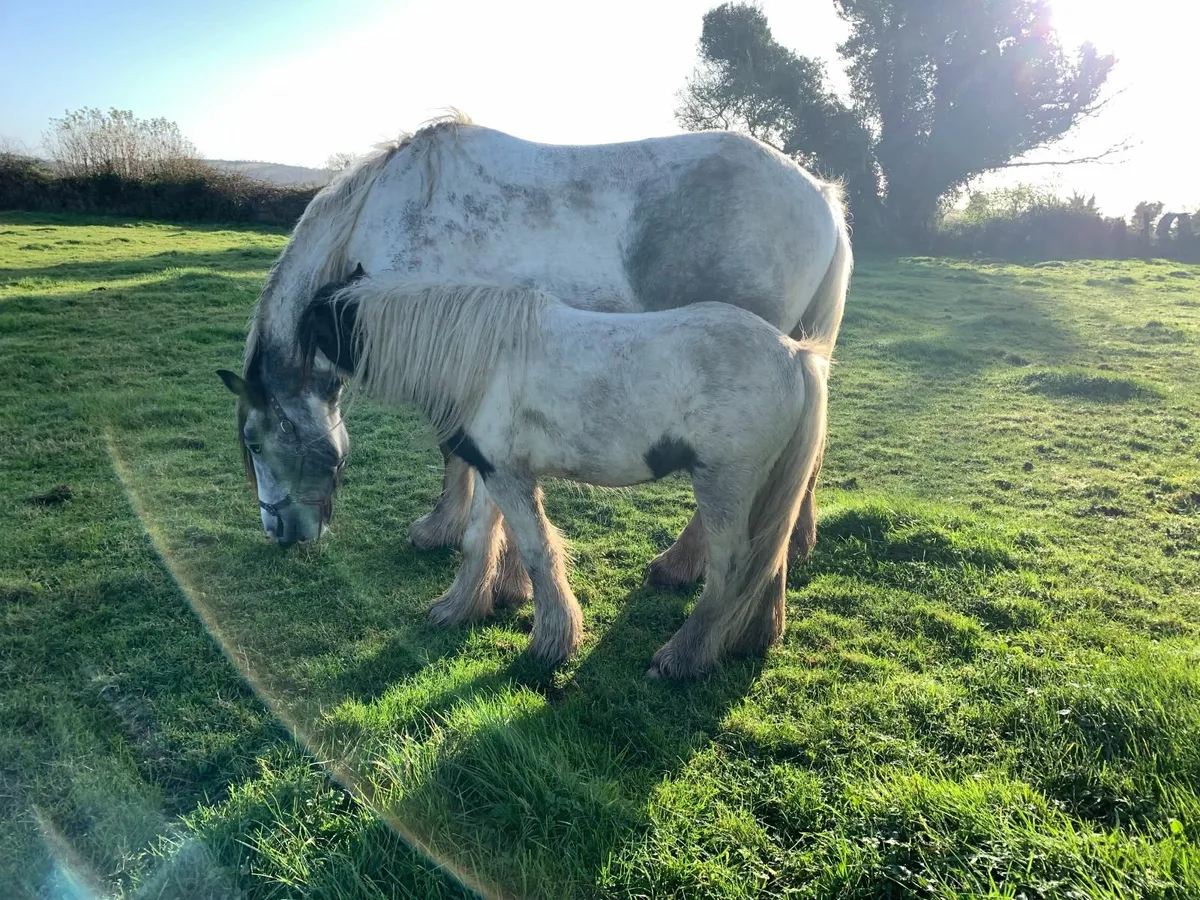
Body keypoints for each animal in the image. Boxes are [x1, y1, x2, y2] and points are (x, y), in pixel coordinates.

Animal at [219, 114, 851, 591]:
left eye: (255, 442)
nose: (280, 532)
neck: (386, 212)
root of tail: (820, 196)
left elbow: (453, 451)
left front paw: (443, 530)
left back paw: (678, 566)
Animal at [284, 272, 829, 677]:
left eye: (311, 326)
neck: (483, 357)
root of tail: (794, 354)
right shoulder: (493, 472)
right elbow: (480, 540)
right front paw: (459, 609)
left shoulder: (508, 478)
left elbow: (536, 550)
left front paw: (551, 642)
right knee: (769, 556)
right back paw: (753, 638)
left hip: (724, 486)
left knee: (734, 566)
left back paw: (682, 658)